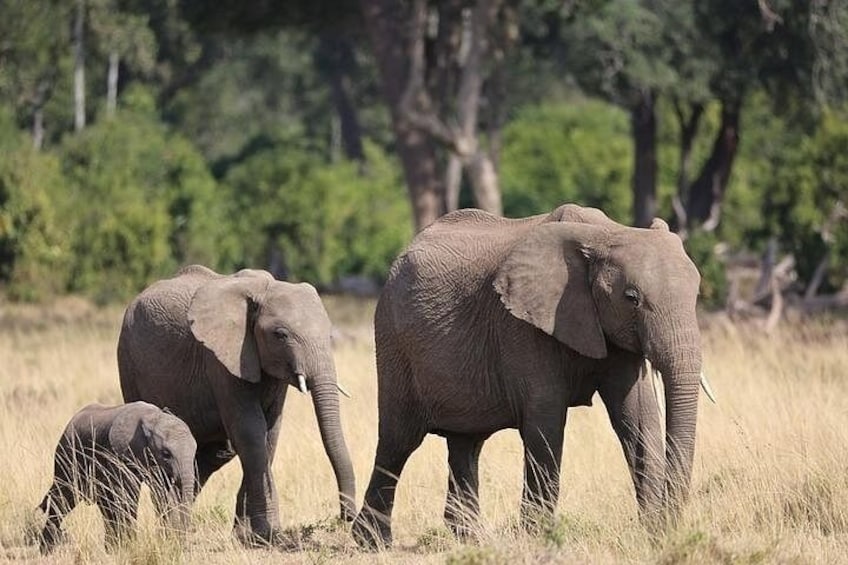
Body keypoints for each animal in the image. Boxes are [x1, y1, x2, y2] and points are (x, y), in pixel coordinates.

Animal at [38, 401, 196, 553]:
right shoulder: (121, 454)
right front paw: (132, 545)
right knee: (63, 497)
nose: (185, 546)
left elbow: (163, 495)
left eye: (195, 451)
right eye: (166, 454)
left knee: (102, 503)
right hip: (67, 454)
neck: (153, 418)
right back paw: (46, 549)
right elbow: (128, 494)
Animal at [117, 265, 356, 545]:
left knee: (216, 452)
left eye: (329, 335)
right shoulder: (221, 359)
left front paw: (247, 535)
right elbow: (250, 432)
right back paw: (170, 532)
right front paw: (267, 535)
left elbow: (269, 434)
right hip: (128, 360)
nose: (346, 516)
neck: (264, 289)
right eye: (281, 335)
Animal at [352, 203, 709, 547]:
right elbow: (546, 423)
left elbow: (637, 418)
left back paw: (472, 540)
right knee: (398, 442)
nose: (669, 529)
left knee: (466, 444)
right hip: (394, 340)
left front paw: (653, 535)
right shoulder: (523, 326)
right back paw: (372, 542)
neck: (604, 234)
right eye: (631, 298)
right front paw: (539, 538)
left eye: (696, 295)